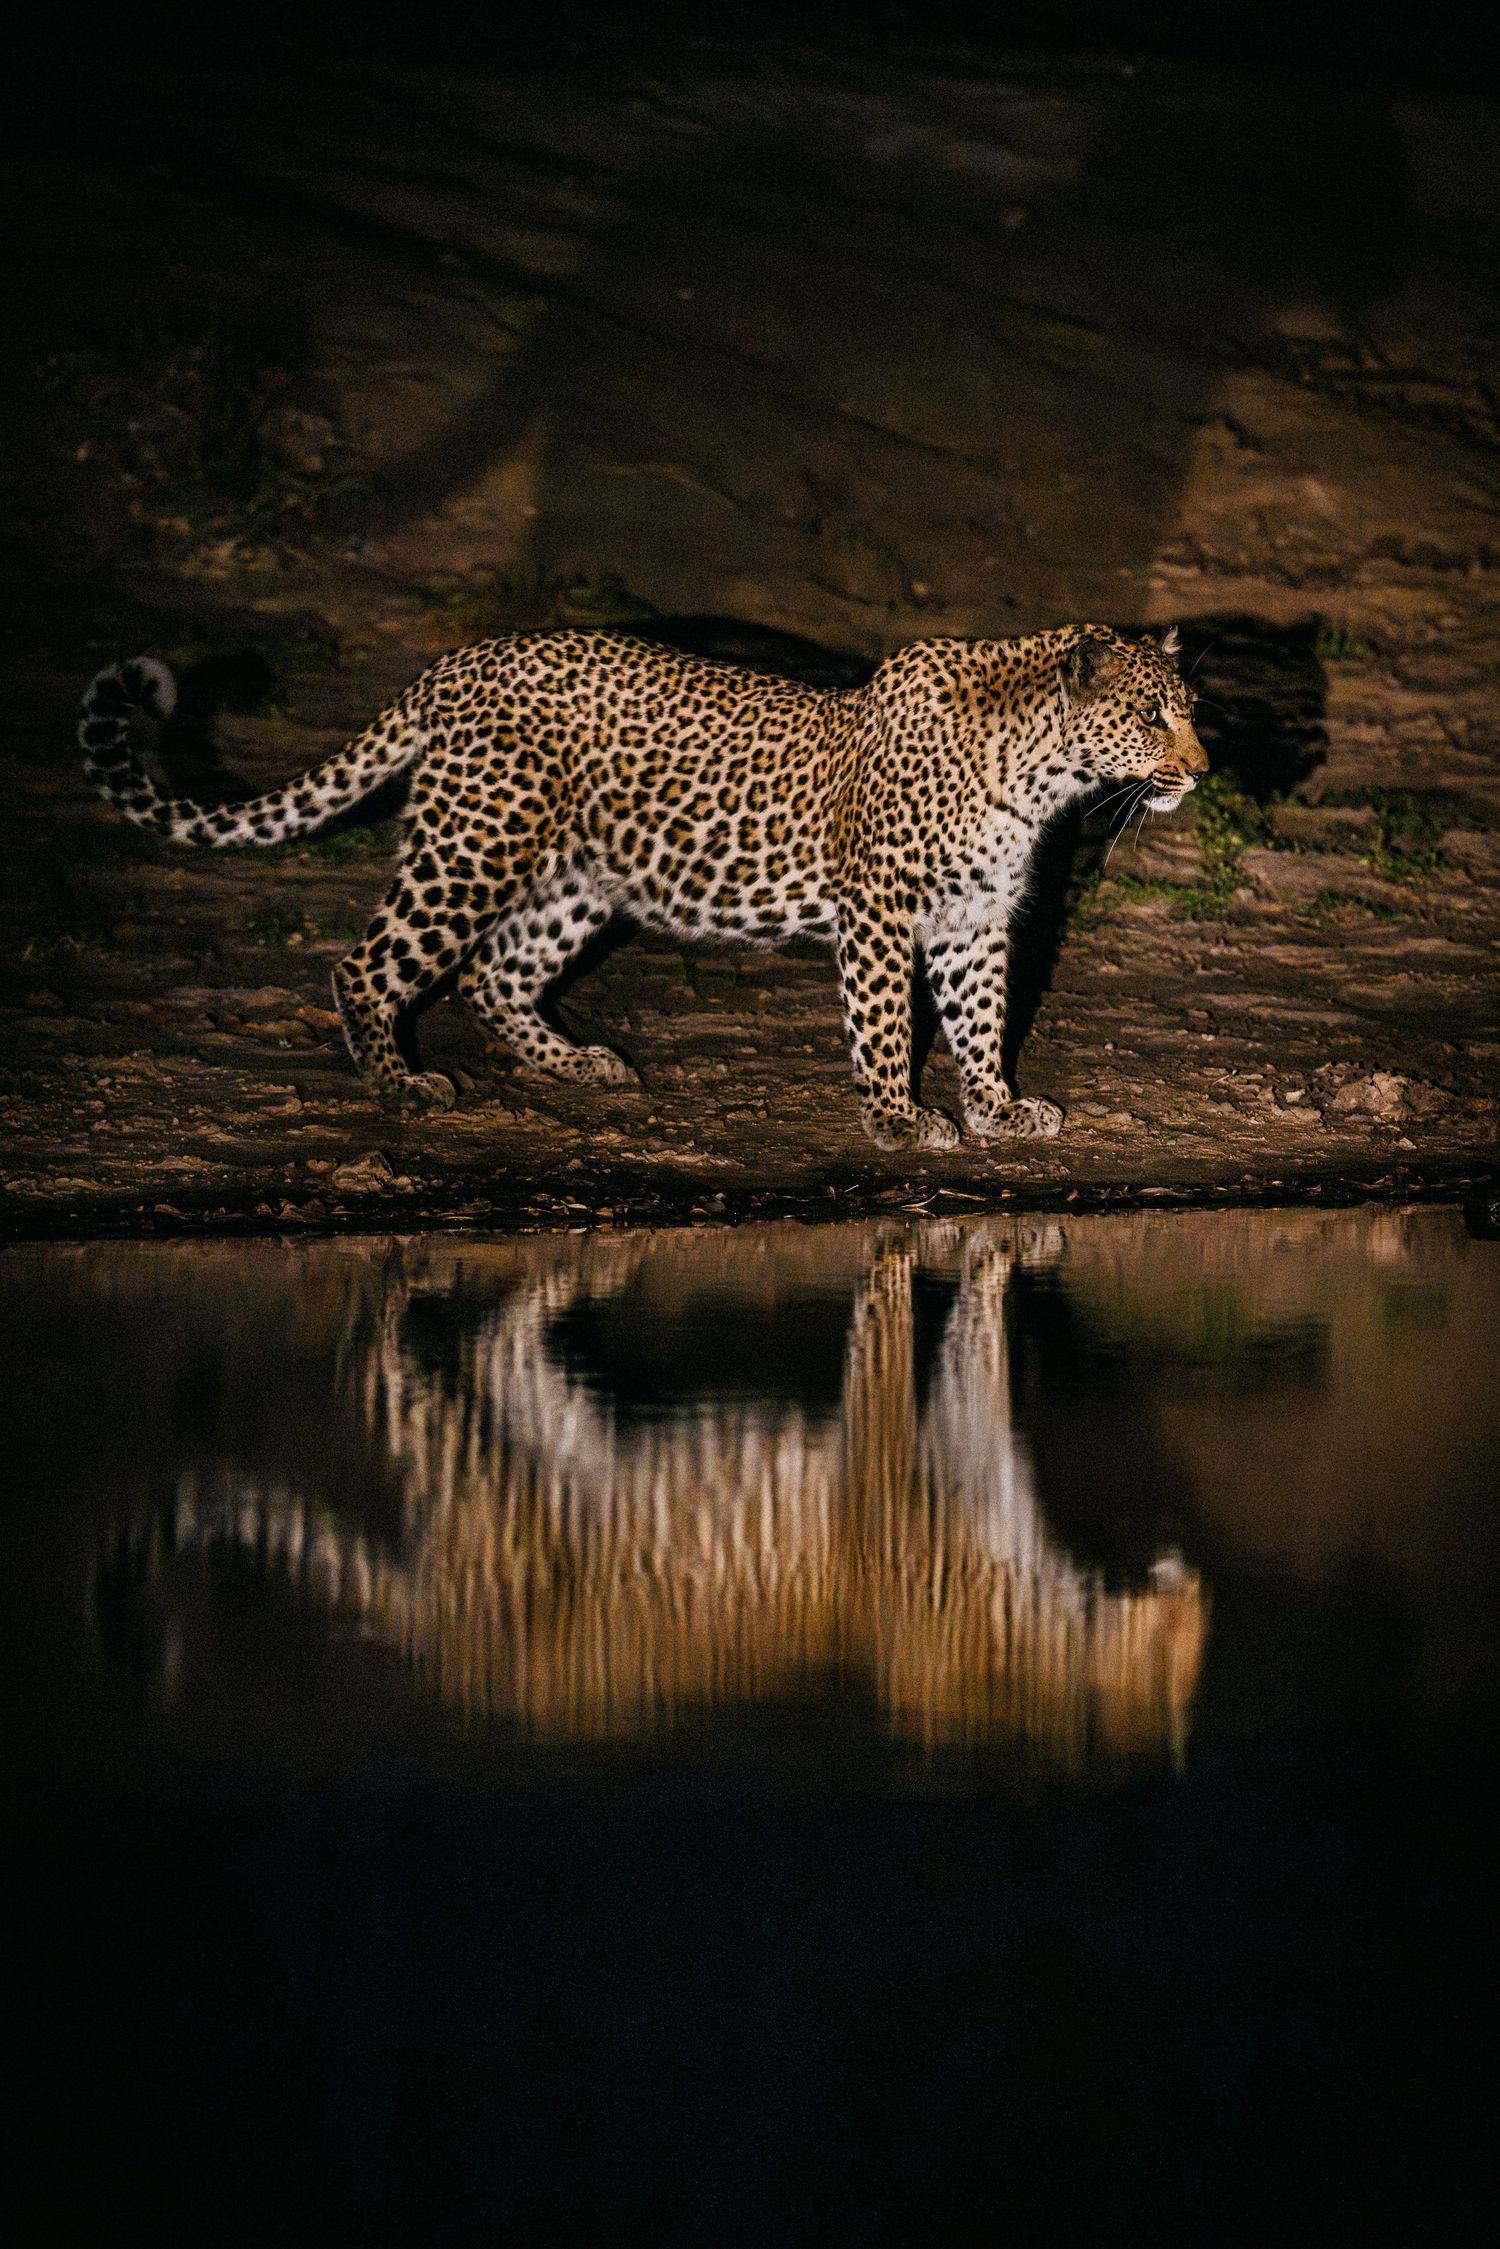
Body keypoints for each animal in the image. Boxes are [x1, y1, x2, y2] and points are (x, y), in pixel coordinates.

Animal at [78, 622, 1208, 1149]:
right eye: (1149, 715)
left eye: (1187, 708)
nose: (1200, 768)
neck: (1041, 775)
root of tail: (454, 664)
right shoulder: (884, 913)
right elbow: (889, 1025)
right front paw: (898, 1118)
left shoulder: (975, 922)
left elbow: (981, 1020)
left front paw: (997, 1109)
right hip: (472, 848)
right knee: (366, 965)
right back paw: (401, 1085)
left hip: (574, 876)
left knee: (494, 976)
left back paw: (578, 1064)